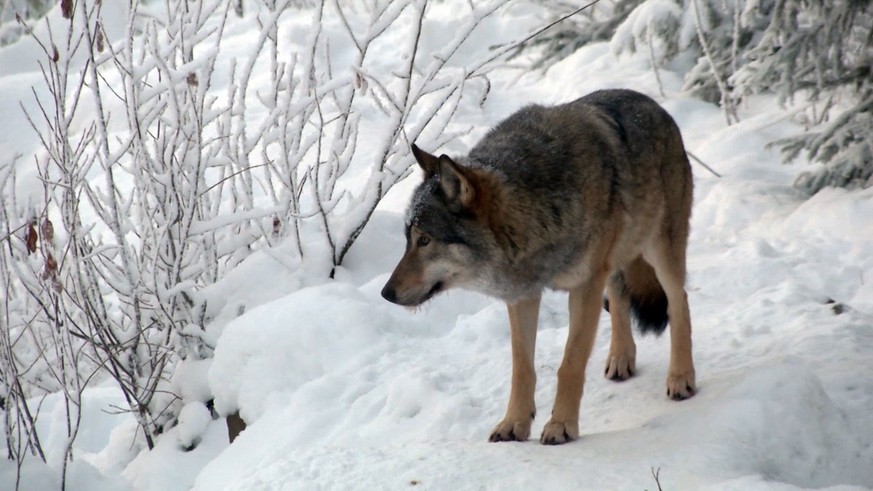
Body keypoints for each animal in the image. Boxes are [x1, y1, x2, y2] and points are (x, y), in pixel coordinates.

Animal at [382, 88, 696, 446]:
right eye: (408, 239)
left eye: (424, 240)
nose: (386, 293)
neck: (534, 213)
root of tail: (654, 104)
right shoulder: (523, 296)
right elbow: (522, 368)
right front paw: (514, 424)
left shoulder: (585, 286)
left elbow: (569, 363)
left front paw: (561, 426)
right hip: (616, 261)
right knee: (619, 297)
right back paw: (620, 360)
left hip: (660, 250)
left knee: (679, 301)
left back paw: (681, 377)